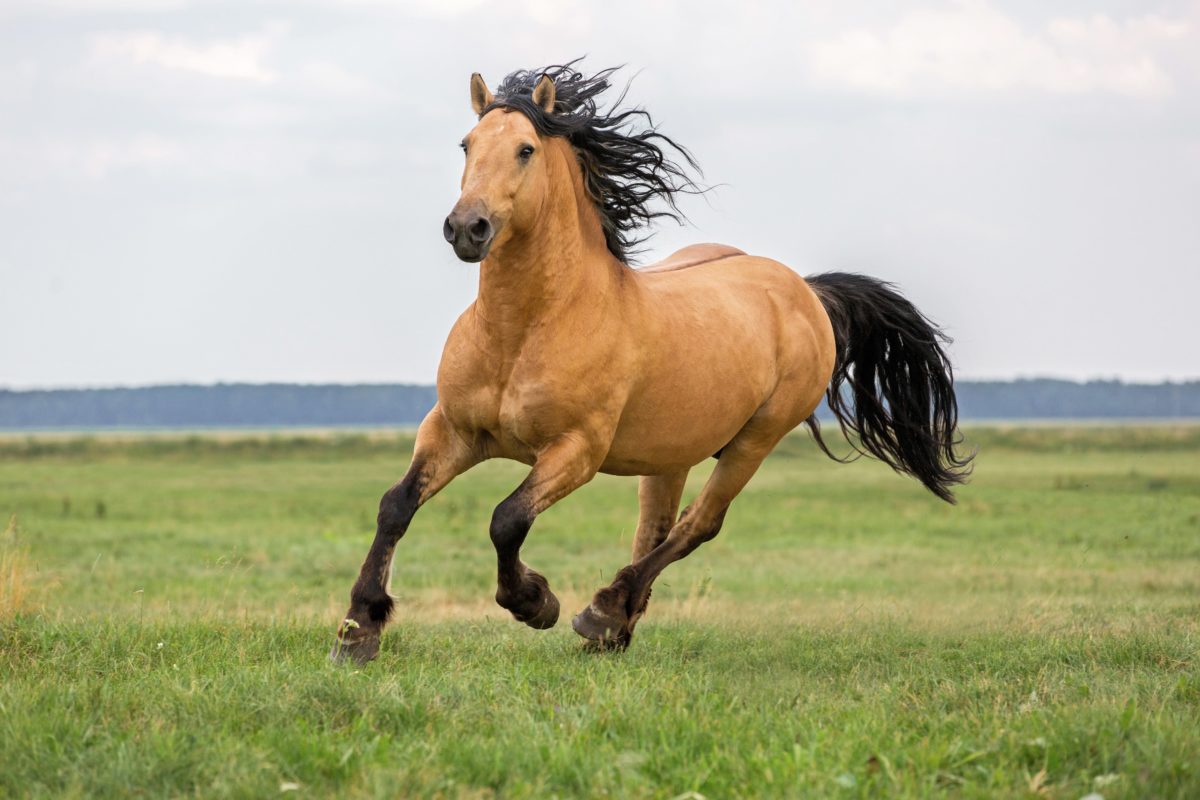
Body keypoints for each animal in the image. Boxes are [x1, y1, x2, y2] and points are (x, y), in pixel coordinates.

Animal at [331, 62, 974, 662]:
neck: (525, 330)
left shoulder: (576, 451)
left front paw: (536, 602)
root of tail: (805, 291)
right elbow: (396, 506)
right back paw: (614, 628)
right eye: (467, 145)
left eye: (525, 149)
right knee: (655, 530)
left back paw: (600, 613)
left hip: (755, 440)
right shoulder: (453, 431)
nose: (467, 228)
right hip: (671, 453)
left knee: (697, 526)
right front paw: (359, 629)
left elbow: (506, 519)